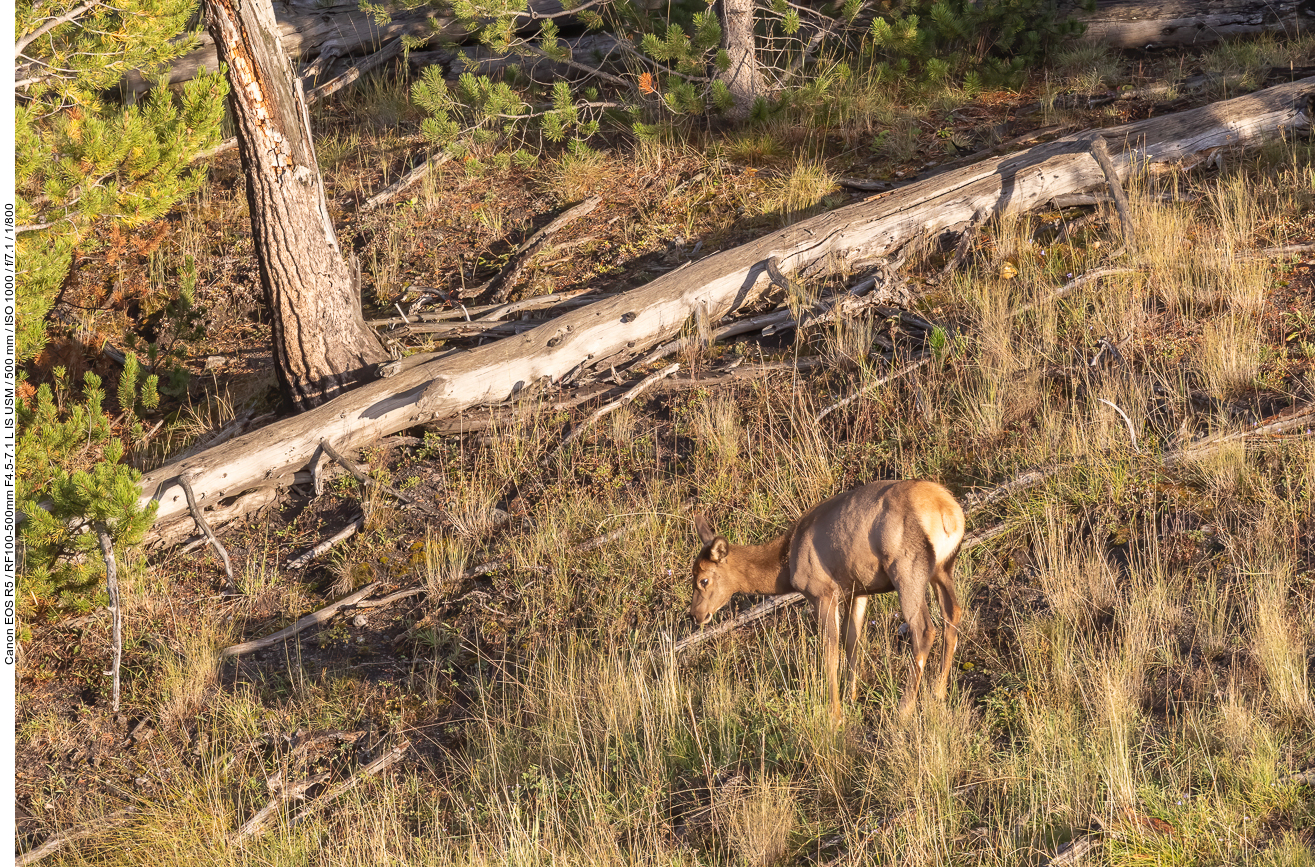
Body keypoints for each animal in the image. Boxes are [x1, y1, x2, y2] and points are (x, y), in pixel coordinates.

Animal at [689, 481, 967, 720]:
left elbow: (829, 649)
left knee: (924, 629)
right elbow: (852, 639)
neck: (785, 565)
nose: (696, 614)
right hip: (943, 568)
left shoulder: (822, 592)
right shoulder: (858, 589)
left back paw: (904, 708)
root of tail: (950, 514)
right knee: (952, 613)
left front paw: (835, 714)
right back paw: (938, 693)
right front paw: (850, 697)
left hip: (906, 568)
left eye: (703, 580)